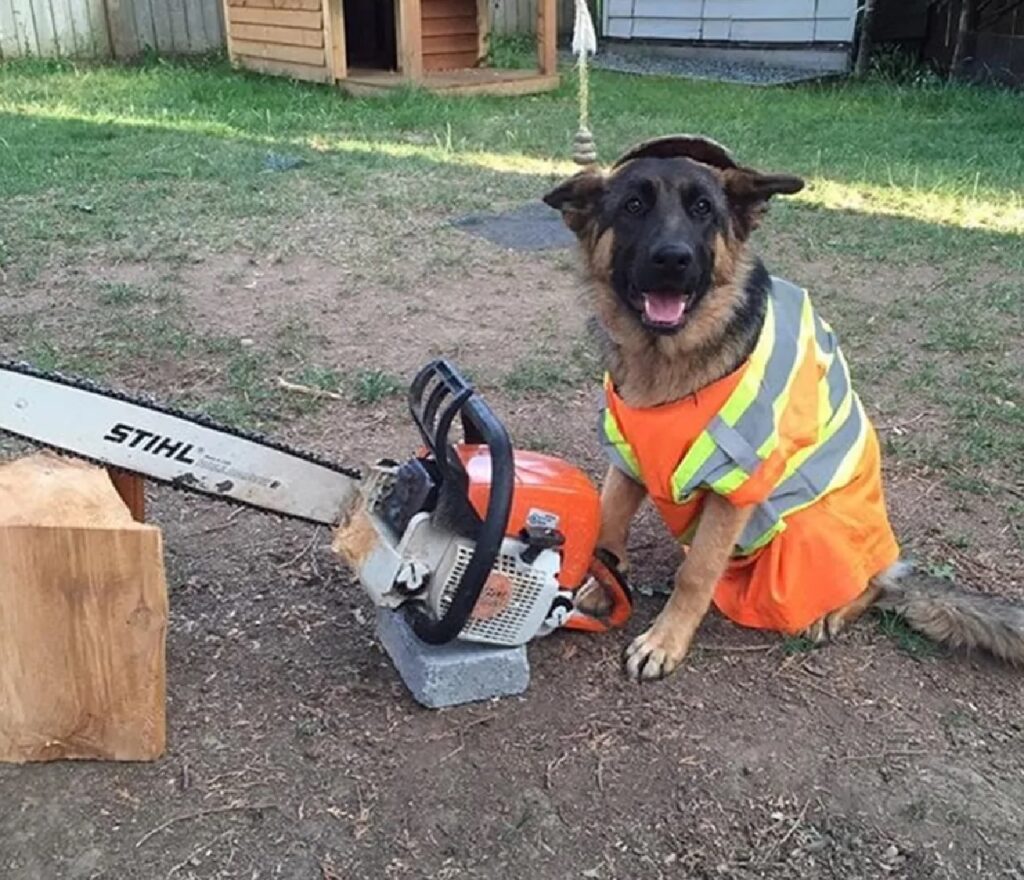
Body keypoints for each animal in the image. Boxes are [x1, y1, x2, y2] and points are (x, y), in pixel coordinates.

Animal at [544, 136, 1024, 680]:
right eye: (633, 206)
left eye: (703, 209)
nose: (673, 259)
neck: (669, 363)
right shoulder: (627, 457)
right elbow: (608, 527)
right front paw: (602, 587)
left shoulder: (734, 481)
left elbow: (696, 573)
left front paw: (665, 640)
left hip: (810, 531)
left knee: (873, 584)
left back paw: (834, 611)